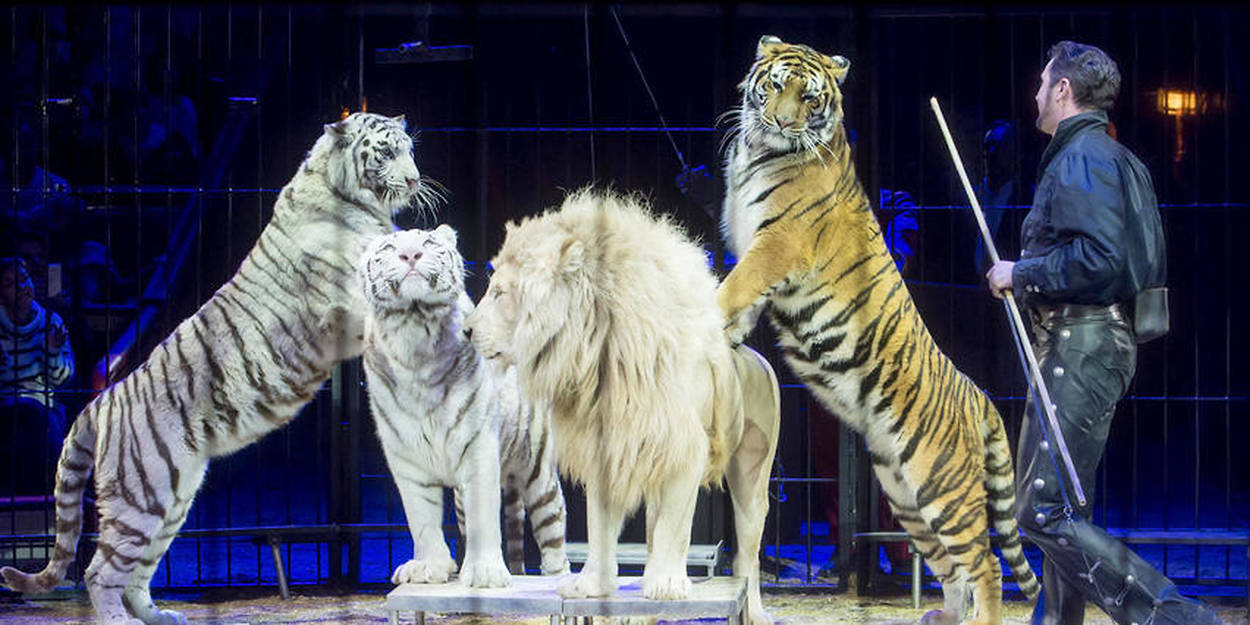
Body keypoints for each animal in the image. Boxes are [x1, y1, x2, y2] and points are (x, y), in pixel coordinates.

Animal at [1, 112, 430, 625]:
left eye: (410, 150)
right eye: (385, 153)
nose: (414, 180)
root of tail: (98, 404)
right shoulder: (354, 300)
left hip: (172, 499)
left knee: (136, 573)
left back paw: (160, 616)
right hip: (142, 497)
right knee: (99, 572)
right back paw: (121, 620)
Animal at [352, 227, 567, 587]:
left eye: (427, 243)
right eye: (390, 247)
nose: (410, 255)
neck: (413, 334)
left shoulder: (478, 448)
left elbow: (485, 520)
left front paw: (486, 572)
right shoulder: (405, 458)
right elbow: (422, 519)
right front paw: (429, 567)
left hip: (538, 470)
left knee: (553, 532)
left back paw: (557, 576)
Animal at [470, 188, 780, 625]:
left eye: (499, 293)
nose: (466, 330)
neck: (597, 355)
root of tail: (755, 356)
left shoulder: (687, 450)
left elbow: (675, 528)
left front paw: (667, 586)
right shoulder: (607, 449)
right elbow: (600, 528)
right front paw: (591, 586)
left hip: (753, 475)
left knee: (747, 557)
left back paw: (753, 610)